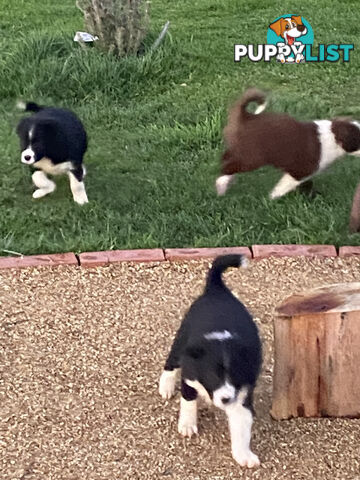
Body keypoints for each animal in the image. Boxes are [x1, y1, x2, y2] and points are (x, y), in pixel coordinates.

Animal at [158, 255, 262, 468]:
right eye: (214, 376)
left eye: (236, 377)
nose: (225, 400)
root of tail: (217, 288)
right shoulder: (189, 376)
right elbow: (188, 401)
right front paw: (187, 425)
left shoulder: (241, 395)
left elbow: (242, 426)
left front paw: (244, 455)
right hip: (181, 341)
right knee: (171, 363)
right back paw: (166, 387)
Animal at [215, 88, 360, 199]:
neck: (334, 136)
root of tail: (246, 116)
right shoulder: (301, 171)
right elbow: (284, 186)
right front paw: (272, 198)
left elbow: (306, 184)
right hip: (252, 157)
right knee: (228, 167)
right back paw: (221, 187)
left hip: (242, 150)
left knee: (227, 157)